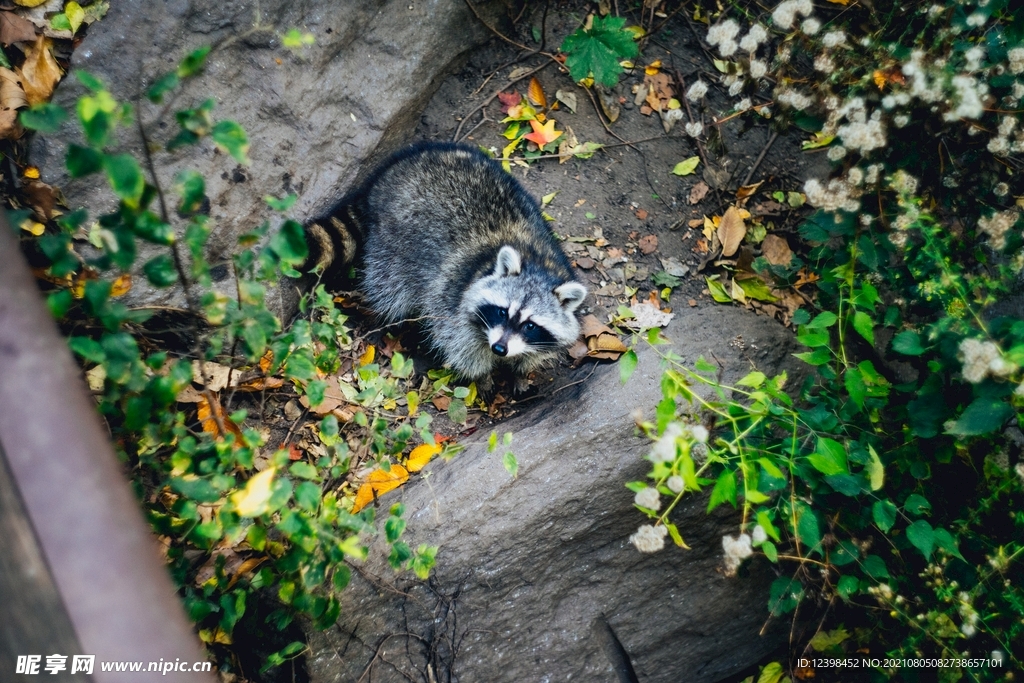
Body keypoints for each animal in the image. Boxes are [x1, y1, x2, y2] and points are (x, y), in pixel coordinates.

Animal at [305, 141, 585, 393]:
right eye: (502, 312)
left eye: (530, 325)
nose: (499, 349)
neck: (538, 265)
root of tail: (388, 175)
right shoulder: (453, 298)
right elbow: (460, 345)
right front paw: (482, 377)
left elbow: (536, 351)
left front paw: (521, 371)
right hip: (393, 243)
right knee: (390, 287)